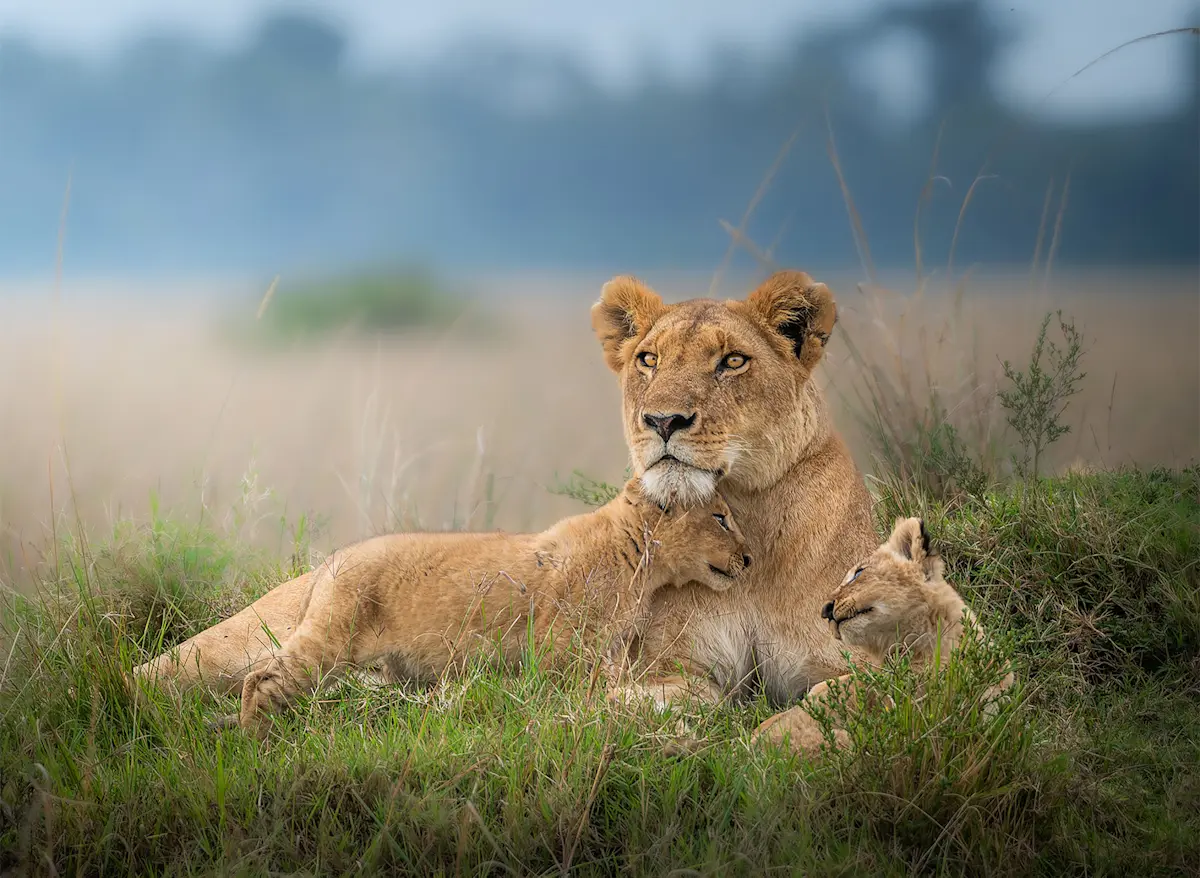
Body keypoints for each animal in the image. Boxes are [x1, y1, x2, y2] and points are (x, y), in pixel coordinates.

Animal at [174, 479, 749, 737]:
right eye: (721, 517)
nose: (748, 558)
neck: (639, 557)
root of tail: (330, 563)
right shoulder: (563, 654)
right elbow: (581, 697)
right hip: (331, 640)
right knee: (263, 678)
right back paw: (255, 738)